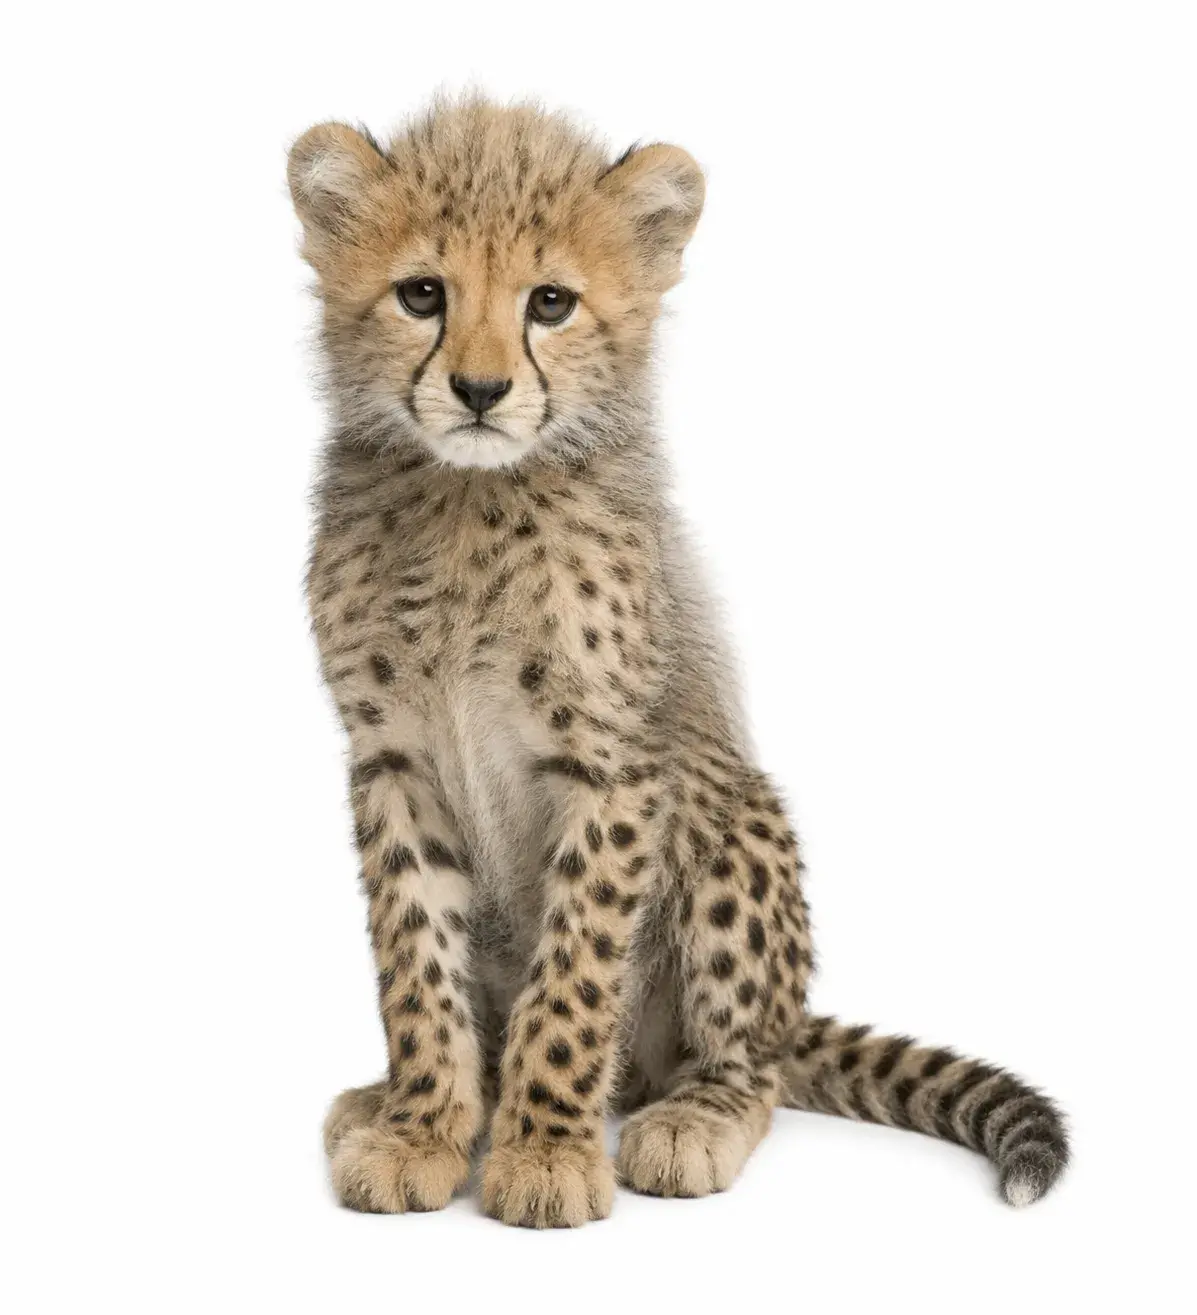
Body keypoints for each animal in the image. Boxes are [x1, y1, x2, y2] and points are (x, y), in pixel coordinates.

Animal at [287, 95, 1069, 1227]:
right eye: (421, 293)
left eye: (551, 302)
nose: (479, 389)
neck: (472, 496)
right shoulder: (390, 757)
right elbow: (414, 962)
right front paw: (425, 1125)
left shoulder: (612, 761)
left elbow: (573, 975)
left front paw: (544, 1151)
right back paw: (396, 1096)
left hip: (736, 826)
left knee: (750, 1067)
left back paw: (691, 1118)